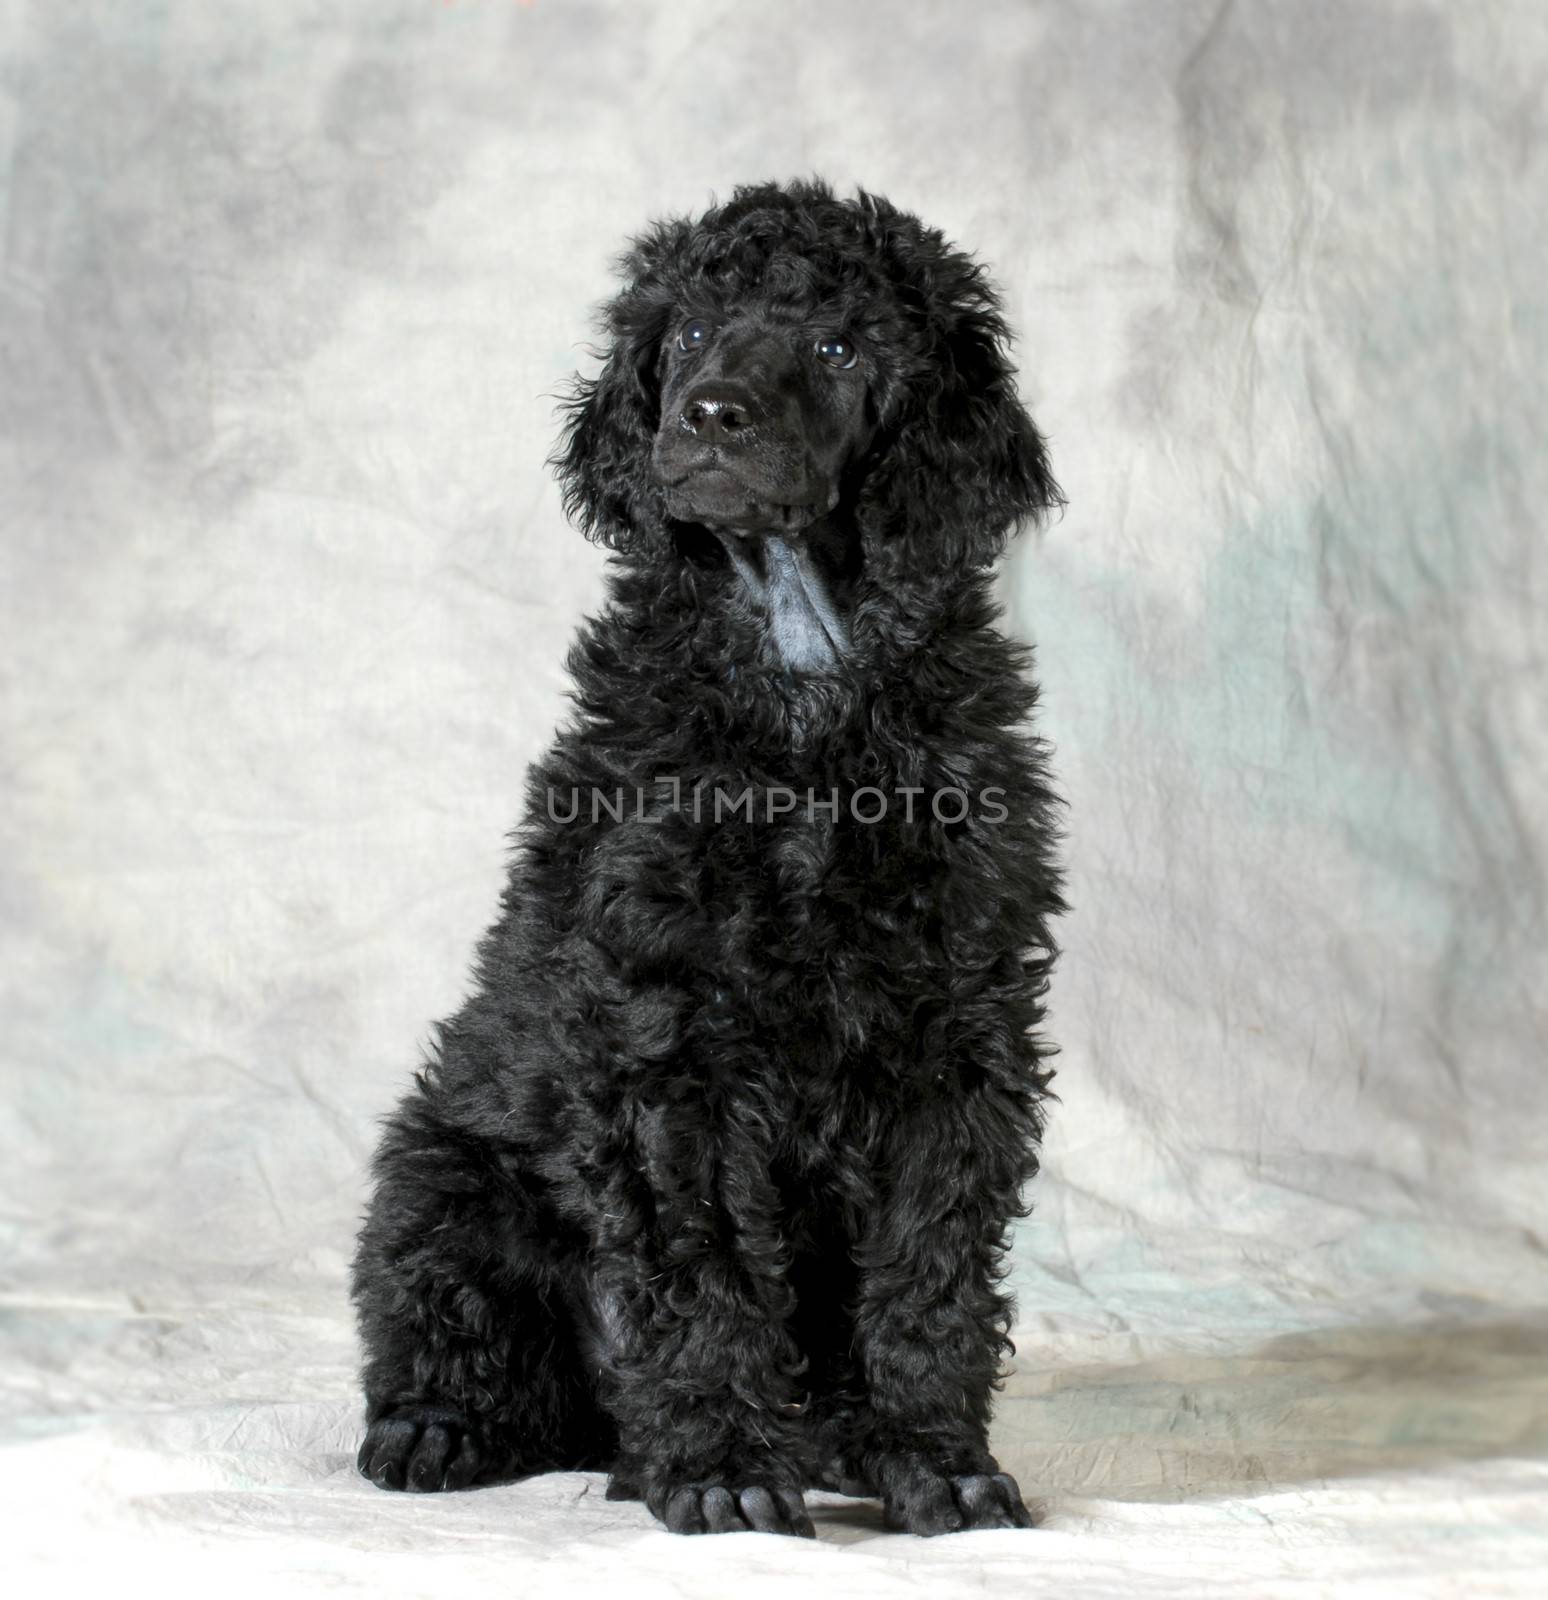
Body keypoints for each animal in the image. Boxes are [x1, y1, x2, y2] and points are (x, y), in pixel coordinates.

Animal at [350, 178, 1061, 1536]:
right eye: (685, 334)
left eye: (839, 346)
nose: (711, 415)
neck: (803, 692)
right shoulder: (667, 1036)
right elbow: (700, 1259)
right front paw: (727, 1465)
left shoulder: (959, 1028)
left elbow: (932, 1263)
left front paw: (930, 1452)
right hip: (446, 1181)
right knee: (448, 1332)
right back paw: (444, 1429)